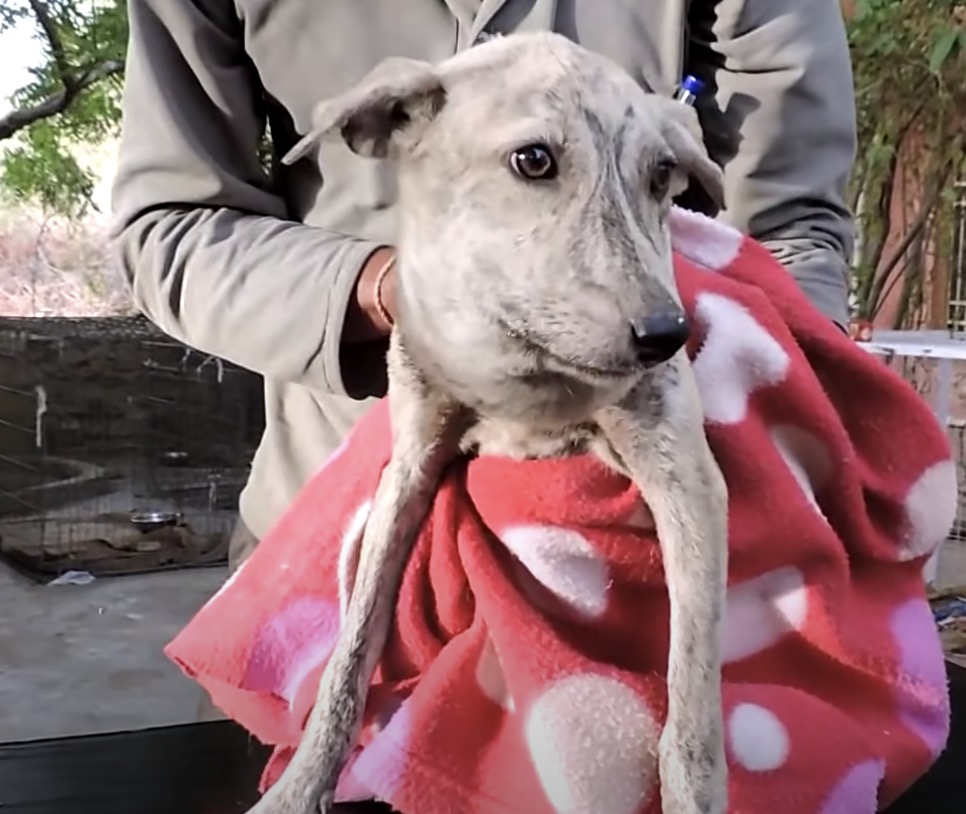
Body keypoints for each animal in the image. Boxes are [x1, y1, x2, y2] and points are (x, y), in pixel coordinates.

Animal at [246, 30, 728, 814]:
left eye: (662, 175)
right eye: (533, 159)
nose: (668, 335)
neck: (521, 373)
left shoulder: (685, 476)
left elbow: (692, 714)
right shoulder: (407, 468)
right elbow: (349, 652)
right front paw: (300, 784)